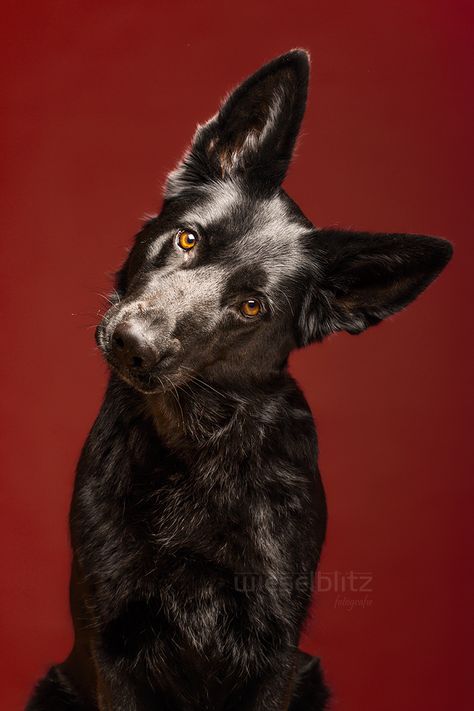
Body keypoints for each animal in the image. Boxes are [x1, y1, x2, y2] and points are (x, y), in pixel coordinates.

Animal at [28, 50, 452, 711]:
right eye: (188, 237)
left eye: (252, 306)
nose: (133, 344)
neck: (197, 447)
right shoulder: (113, 646)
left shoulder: (275, 652)